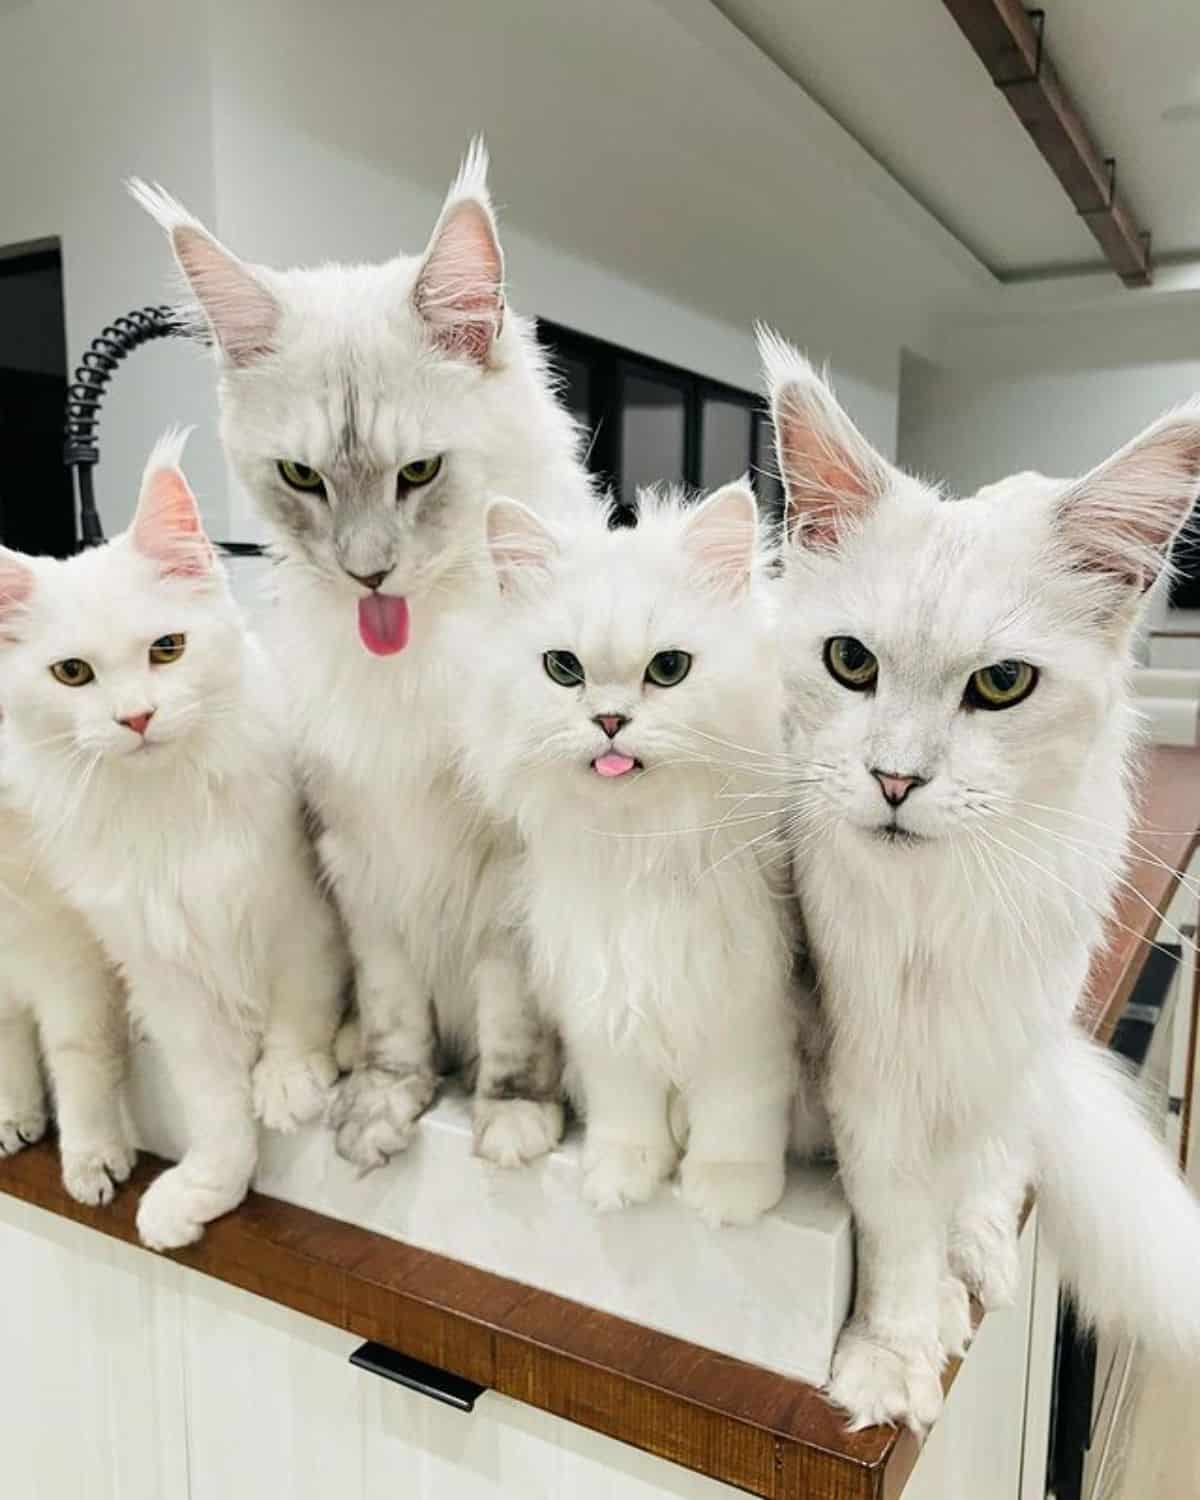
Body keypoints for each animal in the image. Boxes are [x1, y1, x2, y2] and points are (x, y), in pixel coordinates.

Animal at [131, 143, 591, 1170]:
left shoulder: (507, 878)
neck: (411, 662)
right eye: (302, 479)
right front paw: (383, 1102)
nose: (368, 572)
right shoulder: (362, 861)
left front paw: (511, 1115)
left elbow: (510, 1018)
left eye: (418, 474)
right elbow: (393, 1016)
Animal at [459, 486, 804, 1224]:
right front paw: (622, 1177)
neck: (639, 848)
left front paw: (728, 1193)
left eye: (668, 670)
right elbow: (627, 1112)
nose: (611, 721)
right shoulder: (604, 1002)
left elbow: (737, 1113)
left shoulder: (747, 1007)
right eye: (564, 670)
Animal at [765, 334, 1200, 1434]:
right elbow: (898, 1218)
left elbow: (978, 1163)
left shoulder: (1009, 1019)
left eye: (1002, 685)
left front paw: (968, 1258)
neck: (949, 902)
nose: (895, 782)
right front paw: (896, 1353)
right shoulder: (873, 1053)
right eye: (849, 662)